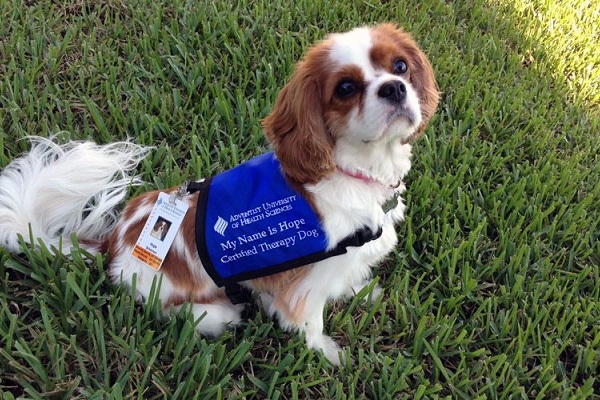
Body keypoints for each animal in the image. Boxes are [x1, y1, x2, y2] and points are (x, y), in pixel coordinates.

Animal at [0, 23, 438, 364]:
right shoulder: (306, 284)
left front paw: (359, 291)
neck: (357, 169)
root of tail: (113, 244)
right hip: (193, 303)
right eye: (346, 87)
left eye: (400, 66)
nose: (395, 88)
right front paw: (329, 353)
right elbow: (308, 322)